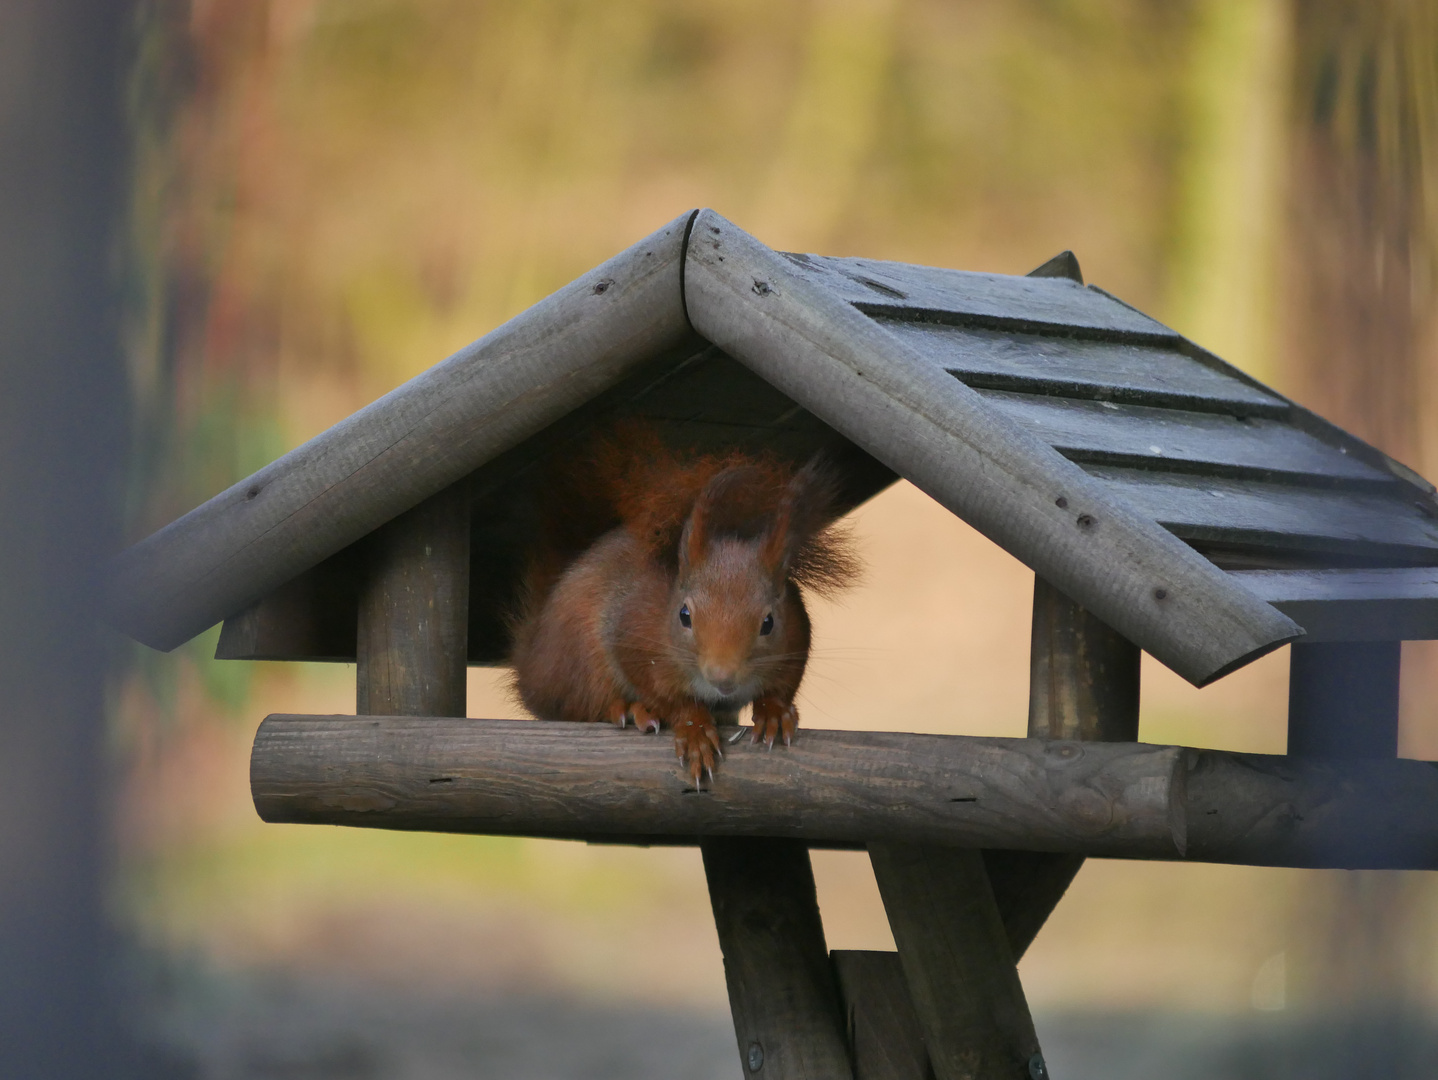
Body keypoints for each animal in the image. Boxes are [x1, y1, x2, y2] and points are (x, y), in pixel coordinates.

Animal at [511, 428, 857, 788]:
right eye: (684, 616)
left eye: (769, 622)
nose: (722, 676)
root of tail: (531, 665)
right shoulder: (634, 640)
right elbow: (668, 698)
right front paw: (694, 730)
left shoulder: (796, 638)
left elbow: (783, 686)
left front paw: (774, 711)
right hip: (578, 662)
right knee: (580, 707)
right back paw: (630, 709)